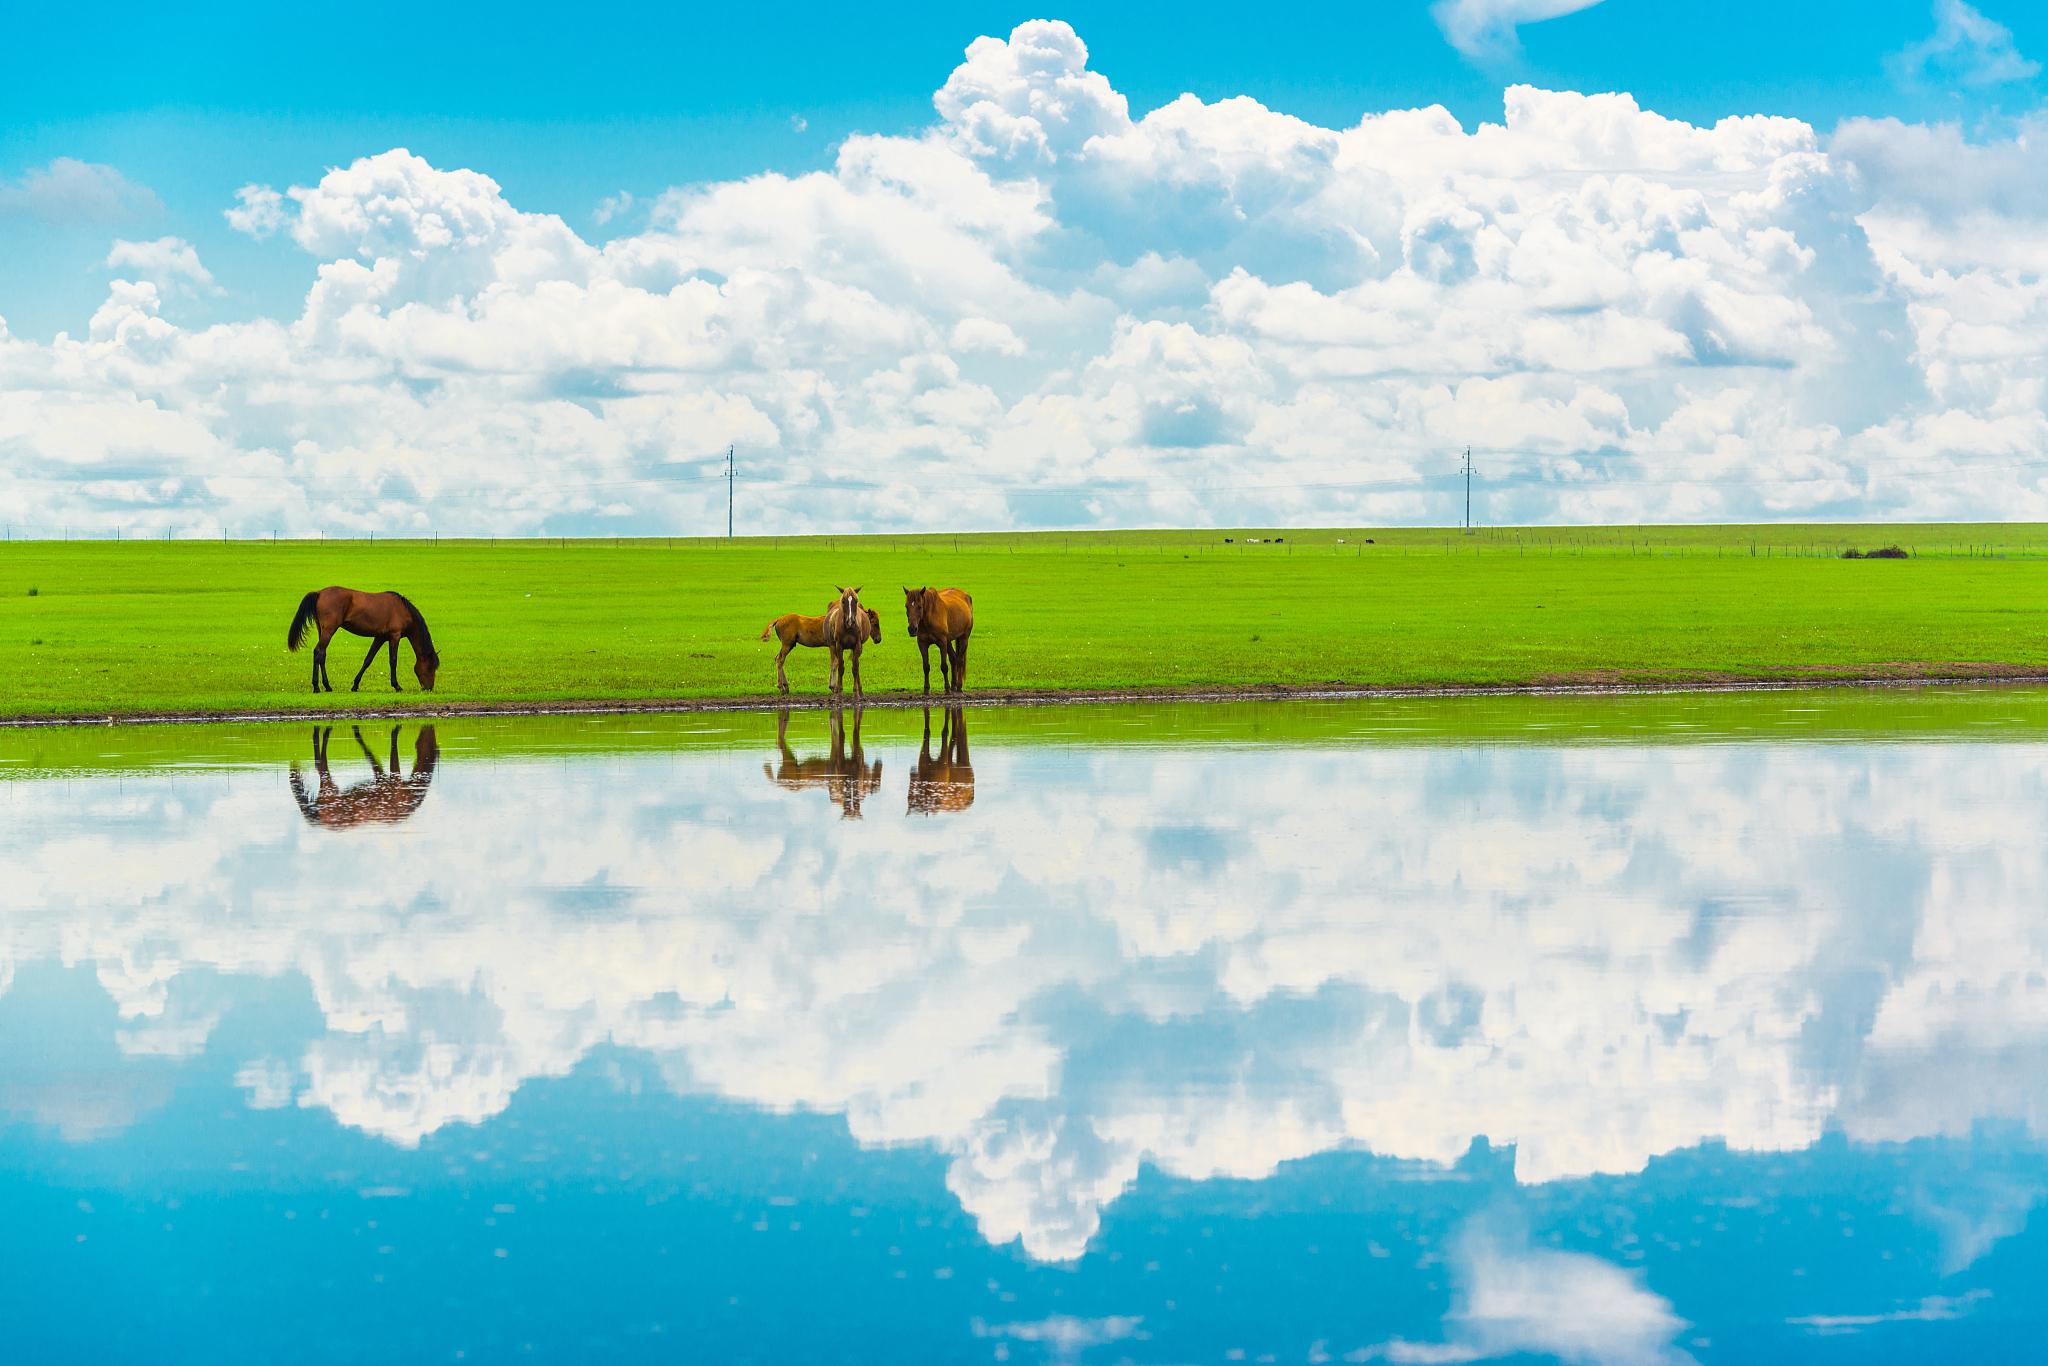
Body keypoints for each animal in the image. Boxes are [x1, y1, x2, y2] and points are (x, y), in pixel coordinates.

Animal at [286, 589, 438, 696]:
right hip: (329, 630)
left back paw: (327, 686)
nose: (429, 688)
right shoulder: (395, 636)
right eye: (430, 667)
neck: (403, 610)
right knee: (318, 652)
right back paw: (316, 686)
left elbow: (368, 660)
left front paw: (355, 685)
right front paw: (397, 686)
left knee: (322, 654)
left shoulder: (380, 637)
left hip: (322, 630)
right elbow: (393, 661)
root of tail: (319, 593)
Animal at [290, 720, 438, 827]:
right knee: (321, 765)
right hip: (329, 787)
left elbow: (369, 755)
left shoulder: (382, 778)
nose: (429, 728)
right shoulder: (393, 778)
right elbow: (389, 746)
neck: (408, 795)